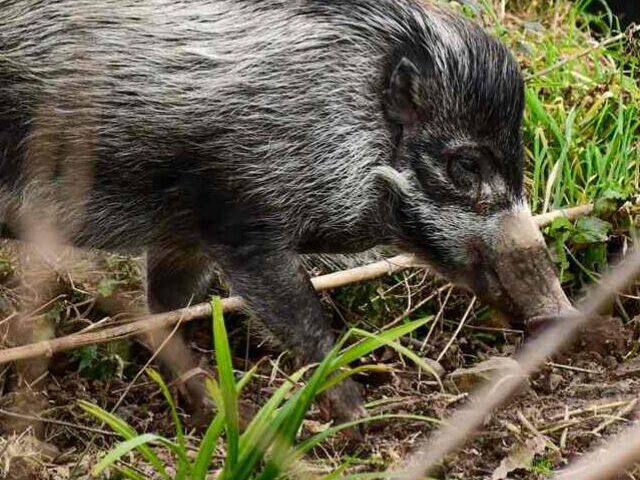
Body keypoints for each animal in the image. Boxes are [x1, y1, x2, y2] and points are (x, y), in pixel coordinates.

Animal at [0, 0, 568, 428]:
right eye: (466, 164)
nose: (561, 316)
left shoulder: (184, 236)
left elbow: (163, 311)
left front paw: (221, 409)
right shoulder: (245, 223)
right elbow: (305, 320)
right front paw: (358, 417)